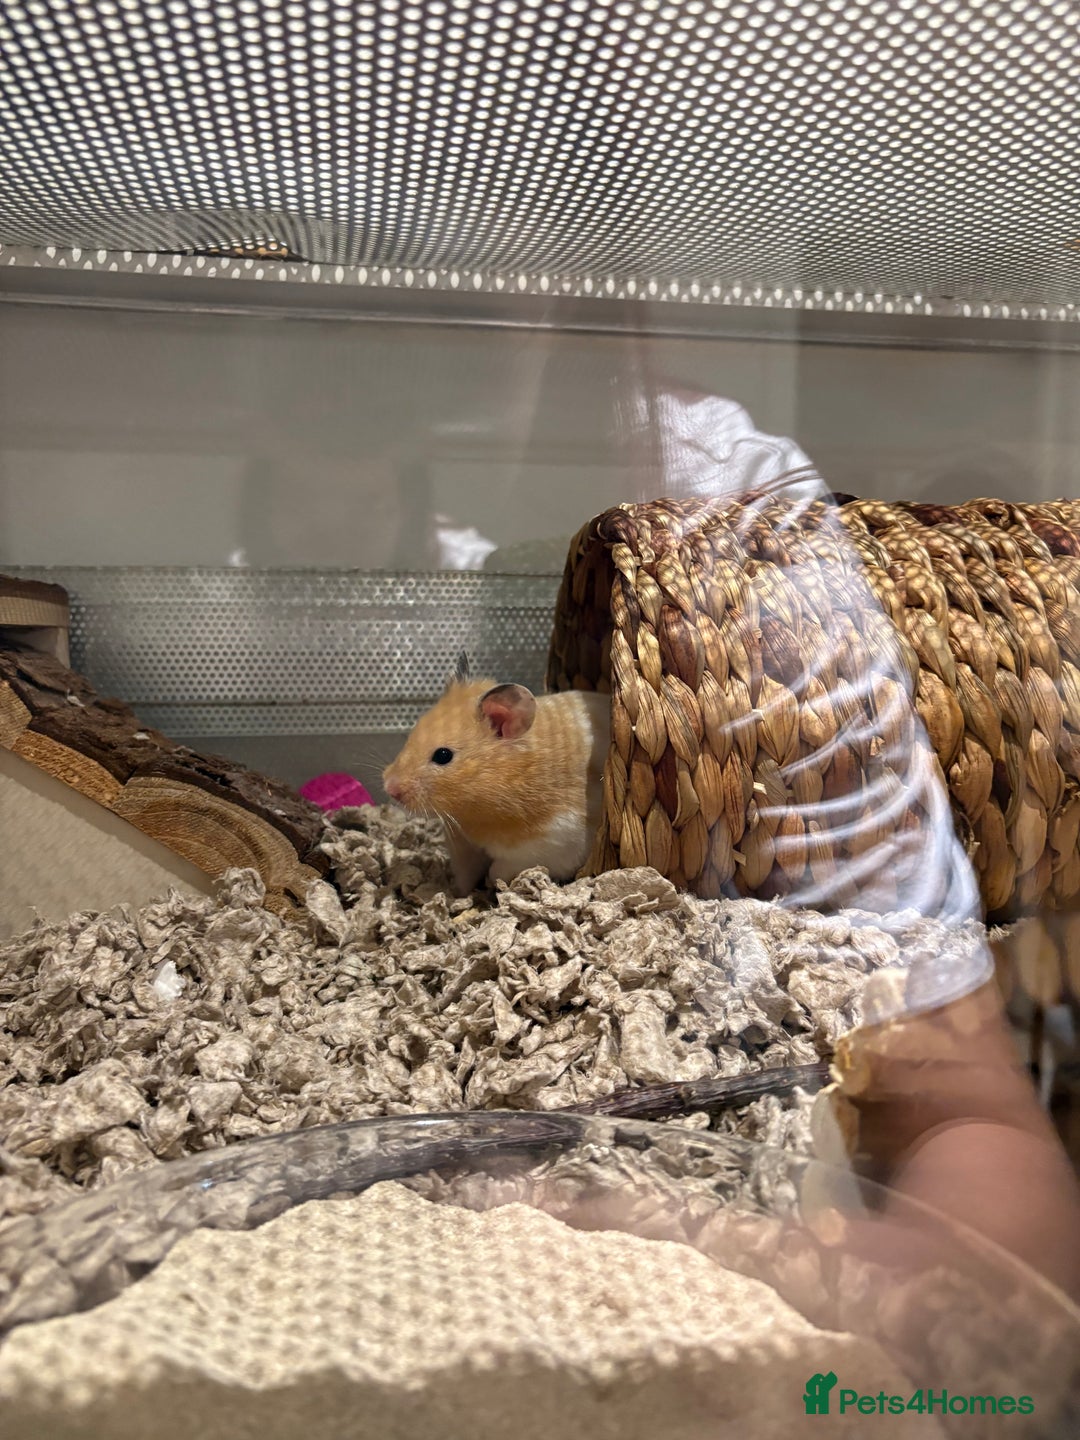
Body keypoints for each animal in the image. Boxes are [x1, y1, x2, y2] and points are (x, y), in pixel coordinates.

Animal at [382, 655, 610, 896]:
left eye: (443, 755)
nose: (389, 788)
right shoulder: (462, 844)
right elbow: (465, 874)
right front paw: (458, 894)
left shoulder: (550, 845)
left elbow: (499, 869)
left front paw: (491, 884)